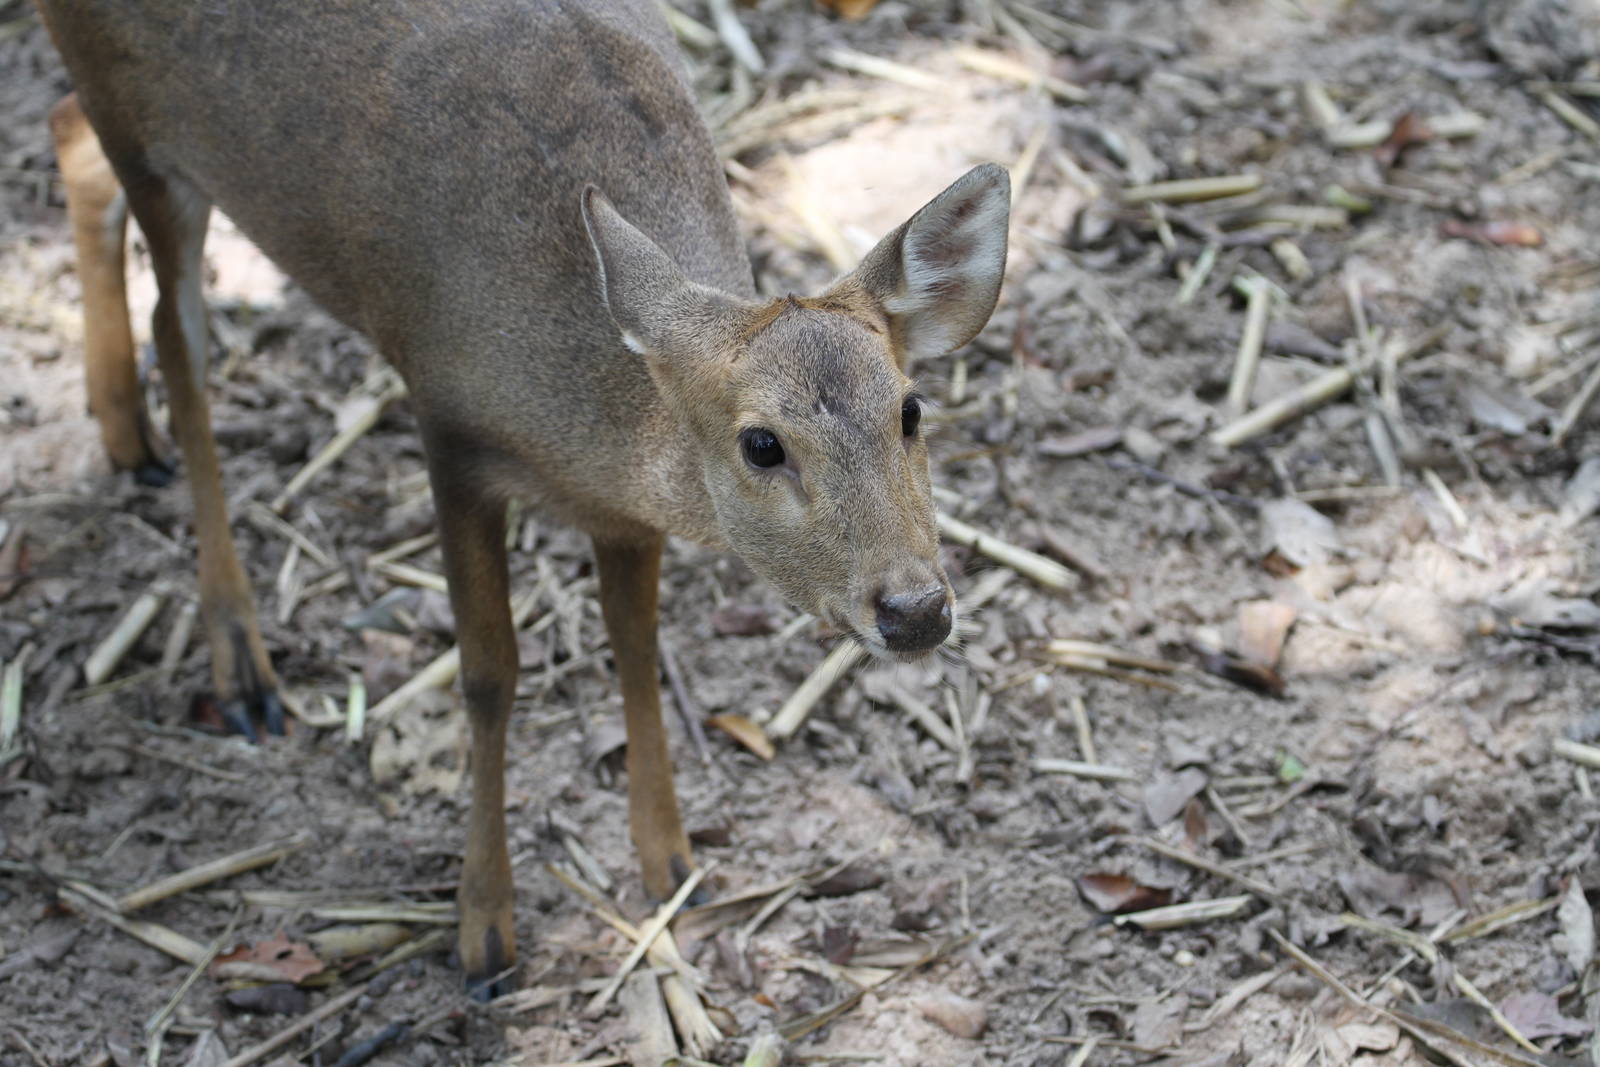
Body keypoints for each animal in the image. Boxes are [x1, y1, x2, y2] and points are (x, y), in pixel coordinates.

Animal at [36, 0, 1010, 996]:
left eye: (911, 408)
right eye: (762, 443)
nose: (916, 608)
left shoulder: (620, 510)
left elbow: (635, 645)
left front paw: (670, 860)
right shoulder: (448, 429)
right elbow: (488, 675)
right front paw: (484, 928)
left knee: (69, 135)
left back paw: (124, 433)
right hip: (144, 127)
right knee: (179, 331)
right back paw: (240, 660)